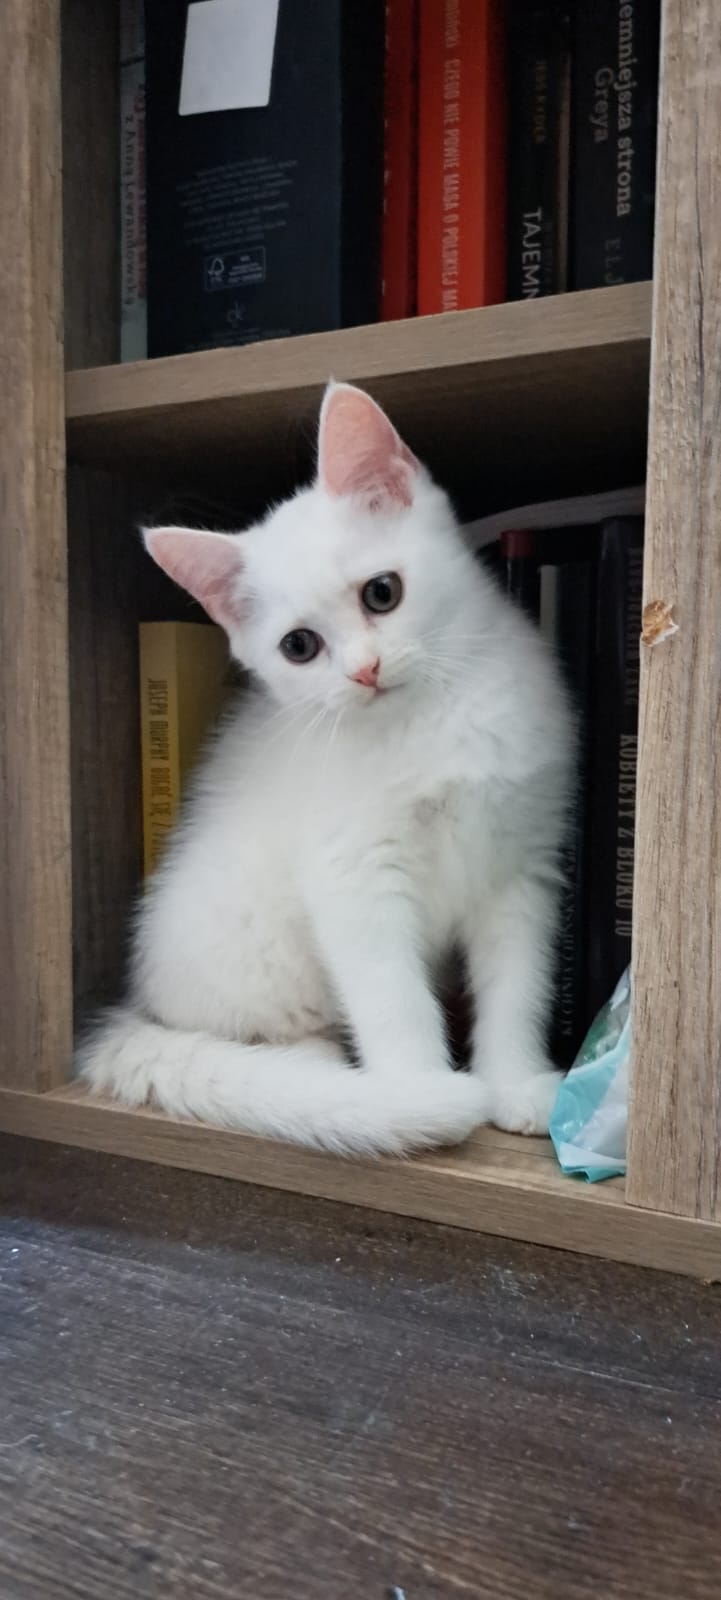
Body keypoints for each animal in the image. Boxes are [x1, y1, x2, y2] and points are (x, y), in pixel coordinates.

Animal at [80, 377, 575, 1152]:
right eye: (299, 646)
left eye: (382, 592)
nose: (364, 671)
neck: (428, 718)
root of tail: (143, 1009)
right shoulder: (353, 875)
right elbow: (392, 998)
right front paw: (418, 1094)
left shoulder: (522, 868)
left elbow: (518, 984)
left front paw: (516, 1082)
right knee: (273, 1049)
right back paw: (340, 1091)